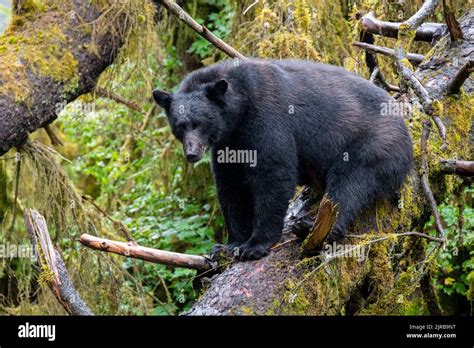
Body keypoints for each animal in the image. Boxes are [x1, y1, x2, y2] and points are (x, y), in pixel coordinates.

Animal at [154, 59, 412, 260]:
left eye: (199, 123)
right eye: (180, 126)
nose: (192, 154)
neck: (240, 110)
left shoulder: (268, 119)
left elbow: (273, 173)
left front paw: (255, 245)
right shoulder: (228, 144)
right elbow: (231, 187)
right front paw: (228, 245)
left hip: (374, 144)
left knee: (349, 187)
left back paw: (310, 227)